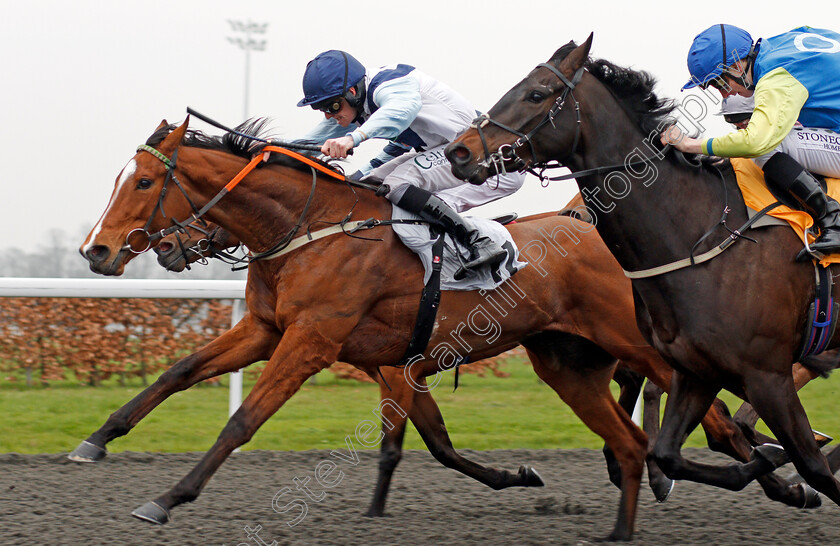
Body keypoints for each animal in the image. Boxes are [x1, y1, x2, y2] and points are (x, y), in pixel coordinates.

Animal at [450, 34, 840, 510]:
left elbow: (813, 467)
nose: (458, 151)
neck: (702, 233)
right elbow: (671, 451)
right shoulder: (698, 368)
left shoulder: (768, 374)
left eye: (537, 94)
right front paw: (759, 465)